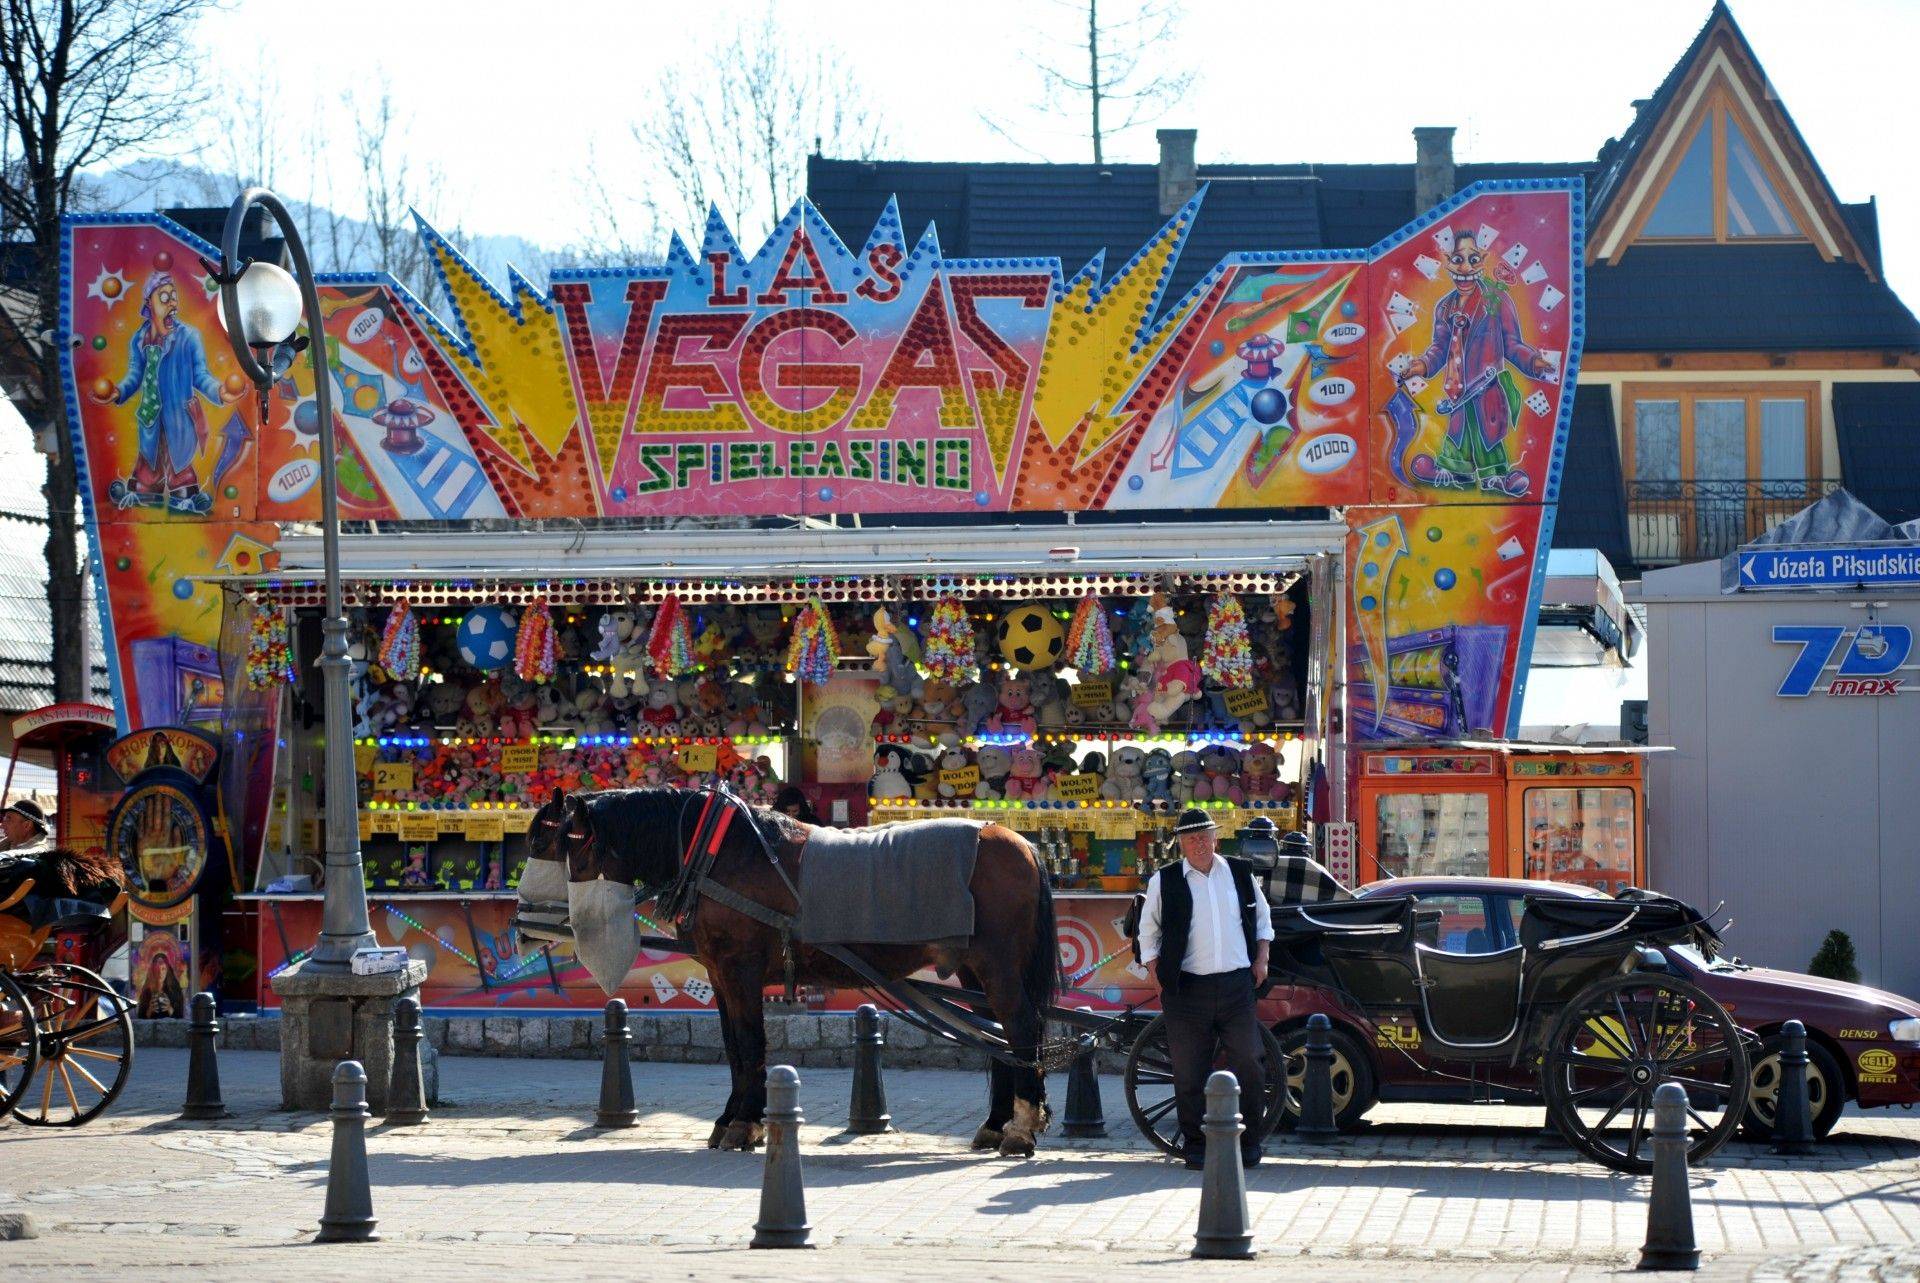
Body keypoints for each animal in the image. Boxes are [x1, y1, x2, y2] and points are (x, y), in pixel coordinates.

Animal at [556, 787, 1059, 1160]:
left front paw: (745, 1123)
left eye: (576, 850)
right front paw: (729, 1119)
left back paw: (1021, 1129)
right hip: (975, 972)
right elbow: (733, 1050)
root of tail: (1021, 843)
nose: (571, 922)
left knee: (1020, 1028)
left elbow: (750, 1044)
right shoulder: (719, 976)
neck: (719, 852)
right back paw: (995, 1126)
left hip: (999, 968)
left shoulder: (740, 971)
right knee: (997, 1036)